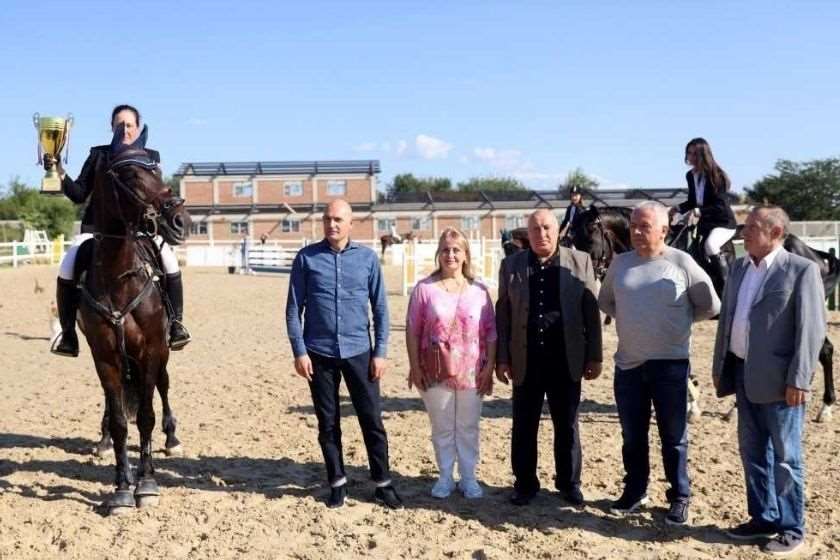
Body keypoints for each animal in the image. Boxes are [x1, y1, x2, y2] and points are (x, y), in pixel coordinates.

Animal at [77, 146, 190, 514]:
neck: (118, 277)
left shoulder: (152, 350)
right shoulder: (105, 356)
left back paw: (171, 438)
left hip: (162, 353)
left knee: (163, 389)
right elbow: (119, 421)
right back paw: (102, 441)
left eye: (157, 170)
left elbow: (145, 417)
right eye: (129, 176)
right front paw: (123, 487)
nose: (180, 220)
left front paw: (147, 483)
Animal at [570, 205, 838, 423]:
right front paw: (693, 400)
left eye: (589, 235)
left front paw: (693, 403)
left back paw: (823, 408)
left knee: (822, 350)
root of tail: (810, 252)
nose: (587, 274)